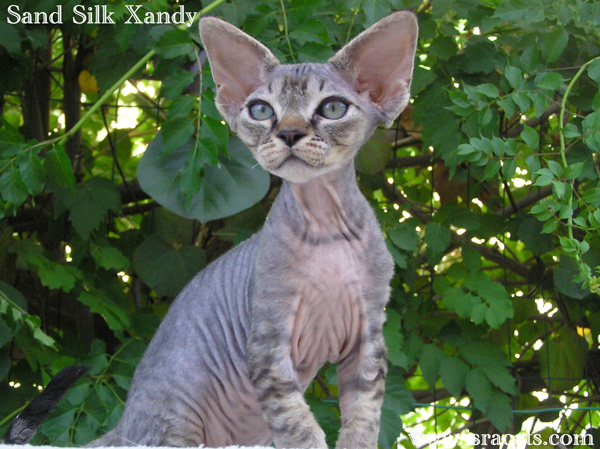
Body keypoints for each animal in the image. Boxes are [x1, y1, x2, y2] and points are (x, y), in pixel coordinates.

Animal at [3, 10, 418, 448]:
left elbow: (363, 420)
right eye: (261, 111)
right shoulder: (268, 345)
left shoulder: (368, 339)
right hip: (177, 424)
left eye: (333, 108)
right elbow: (298, 427)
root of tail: (125, 423)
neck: (326, 229)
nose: (288, 133)